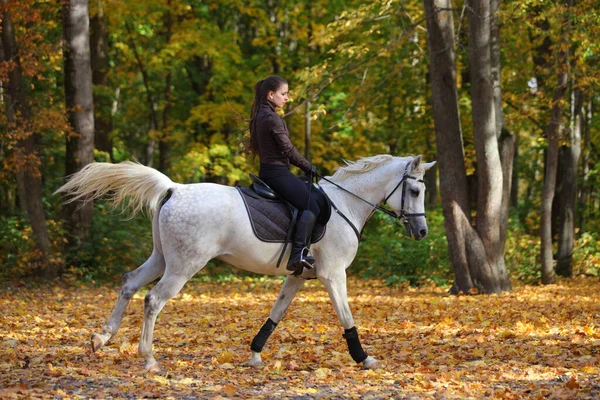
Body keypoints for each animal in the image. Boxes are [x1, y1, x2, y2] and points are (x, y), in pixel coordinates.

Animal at [57, 152, 436, 372]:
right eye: (416, 191)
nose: (421, 232)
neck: (346, 204)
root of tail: (175, 188)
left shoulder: (299, 276)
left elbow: (276, 313)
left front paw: (254, 354)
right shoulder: (333, 274)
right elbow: (346, 316)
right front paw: (364, 357)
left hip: (161, 258)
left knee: (130, 283)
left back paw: (102, 338)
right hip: (183, 266)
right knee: (153, 299)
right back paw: (149, 359)